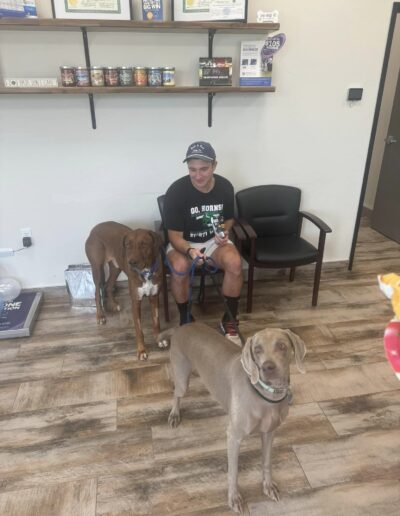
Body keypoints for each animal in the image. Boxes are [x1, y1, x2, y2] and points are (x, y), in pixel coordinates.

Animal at [85, 221, 164, 358]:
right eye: (128, 245)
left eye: (144, 244)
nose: (131, 262)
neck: (146, 272)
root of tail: (94, 229)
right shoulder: (135, 302)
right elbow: (139, 329)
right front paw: (141, 350)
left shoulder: (154, 297)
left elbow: (156, 321)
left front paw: (159, 339)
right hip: (97, 268)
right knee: (97, 292)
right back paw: (100, 316)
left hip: (116, 267)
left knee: (108, 286)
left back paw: (113, 304)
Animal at [158, 322, 304, 512]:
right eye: (257, 349)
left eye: (282, 346)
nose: (267, 367)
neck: (266, 395)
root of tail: (181, 327)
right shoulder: (234, 437)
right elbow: (233, 472)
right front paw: (234, 498)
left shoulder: (269, 432)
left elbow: (266, 462)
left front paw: (268, 486)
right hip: (182, 377)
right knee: (176, 393)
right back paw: (174, 414)